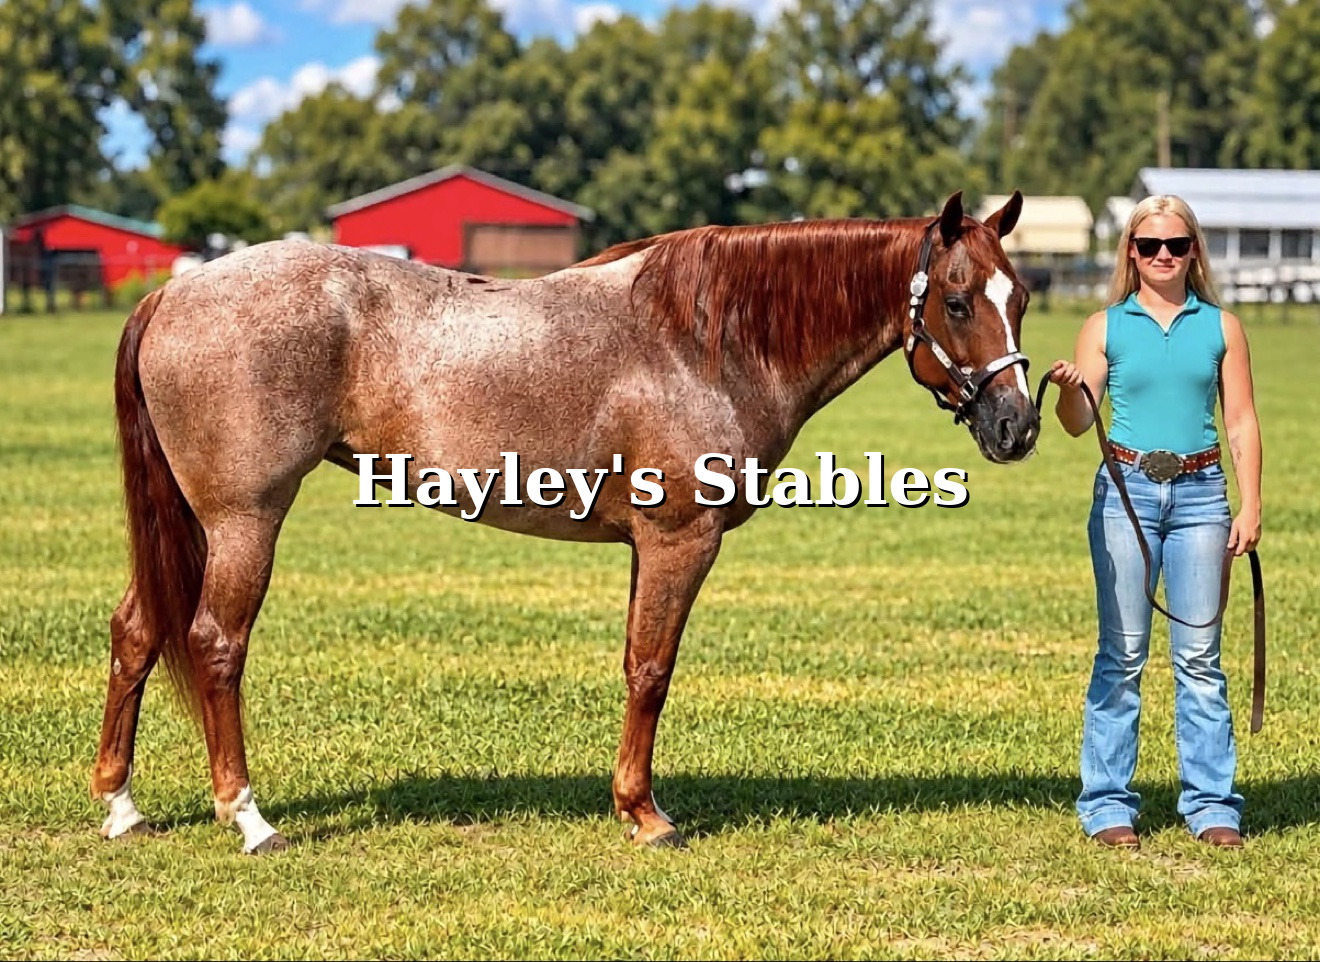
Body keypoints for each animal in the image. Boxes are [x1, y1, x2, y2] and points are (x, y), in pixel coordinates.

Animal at [91, 189, 1039, 854]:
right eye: (957, 301)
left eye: (1022, 297)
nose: (1018, 427)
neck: (704, 342)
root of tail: (172, 296)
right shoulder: (679, 542)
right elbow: (653, 671)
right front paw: (647, 816)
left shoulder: (647, 549)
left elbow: (633, 664)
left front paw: (630, 802)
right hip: (244, 521)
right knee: (215, 643)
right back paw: (248, 818)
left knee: (137, 630)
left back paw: (121, 806)